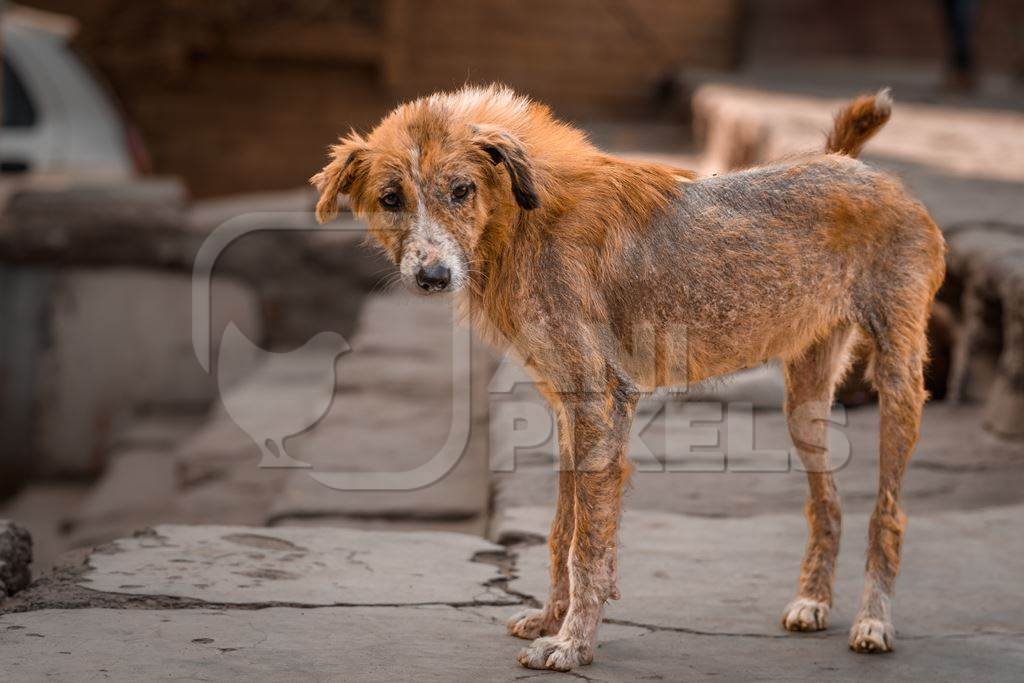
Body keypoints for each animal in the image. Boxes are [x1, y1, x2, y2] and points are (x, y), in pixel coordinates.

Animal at [309, 85, 942, 671]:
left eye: (461, 190)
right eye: (391, 198)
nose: (434, 276)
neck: (522, 222)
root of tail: (853, 165)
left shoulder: (599, 401)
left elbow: (586, 546)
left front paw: (572, 645)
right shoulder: (570, 408)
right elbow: (563, 531)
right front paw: (552, 620)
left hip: (899, 386)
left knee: (888, 514)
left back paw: (872, 621)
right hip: (805, 403)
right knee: (827, 507)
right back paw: (813, 601)